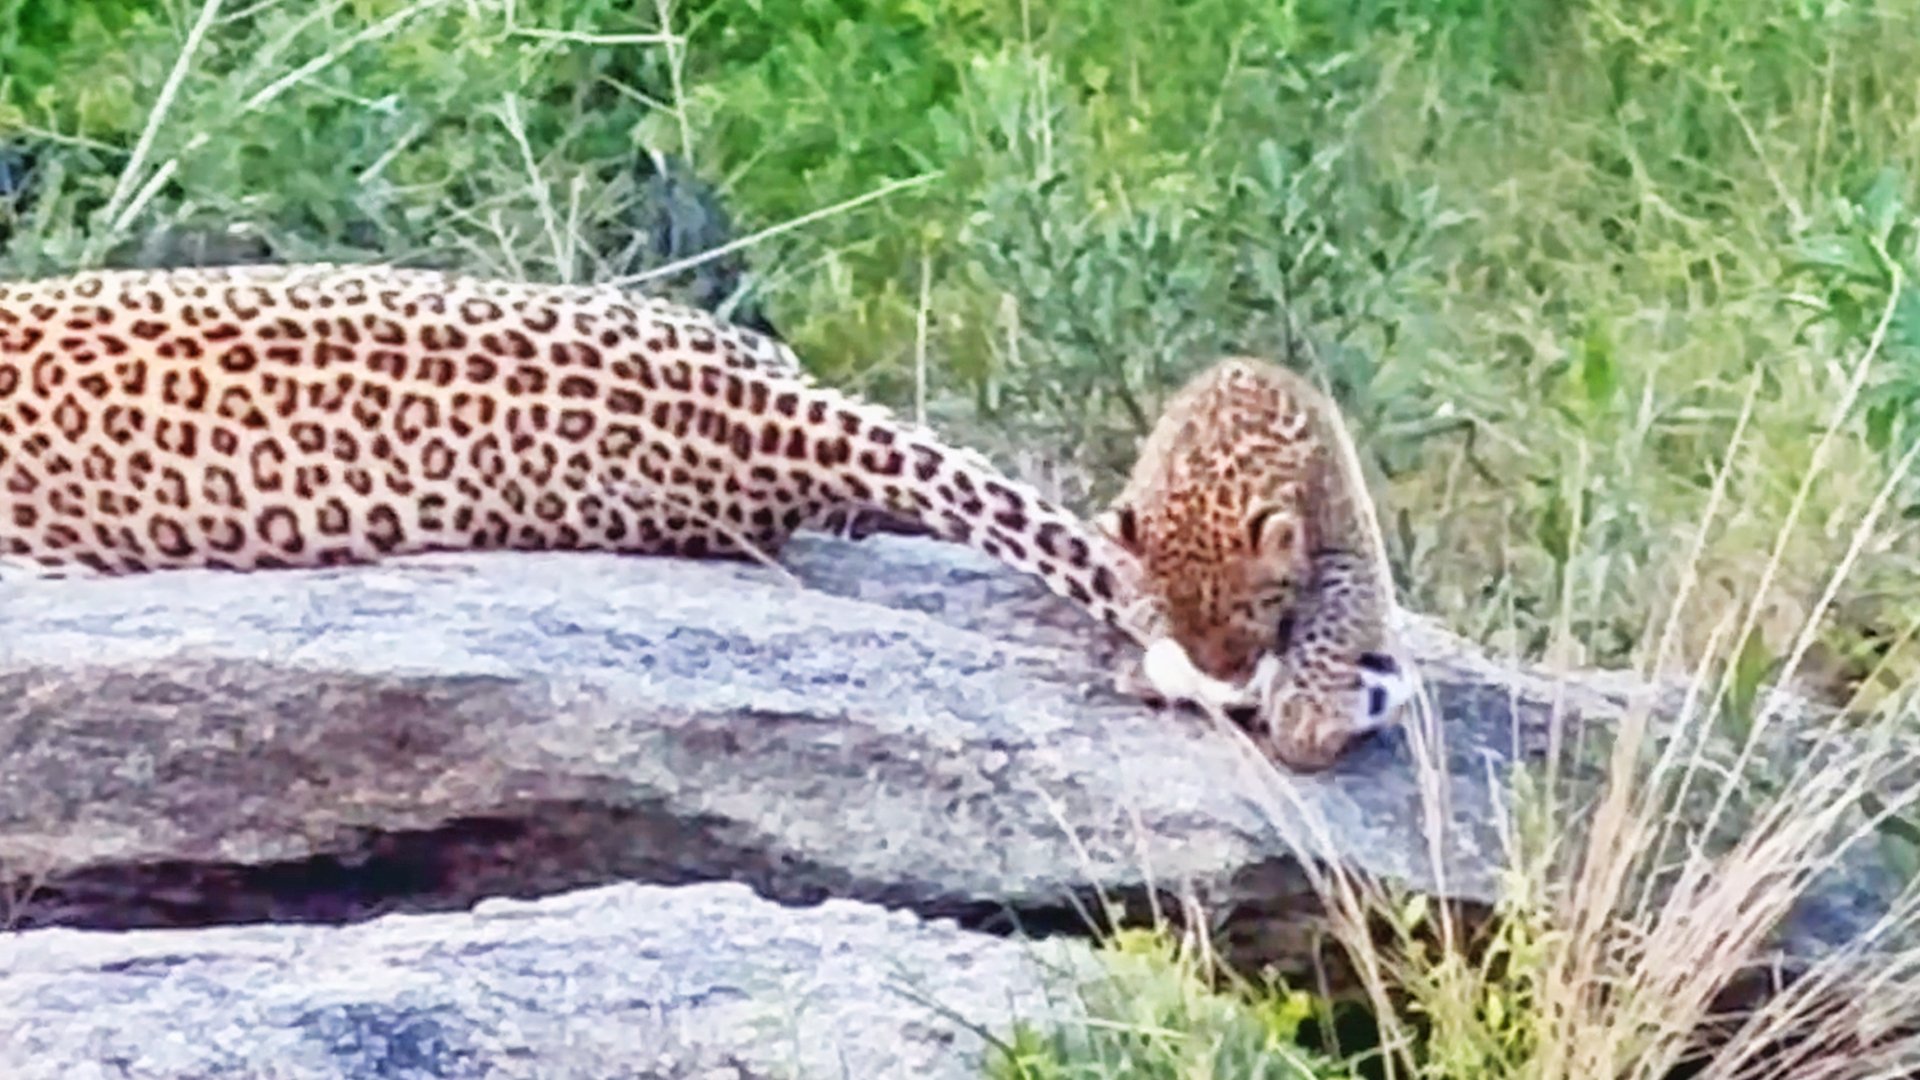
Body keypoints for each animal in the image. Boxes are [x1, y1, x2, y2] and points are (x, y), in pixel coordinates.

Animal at [1095, 356, 1418, 771]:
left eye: (1243, 633)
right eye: (1183, 633)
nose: (1229, 681)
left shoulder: (1349, 548)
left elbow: (1333, 623)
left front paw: (1307, 718)